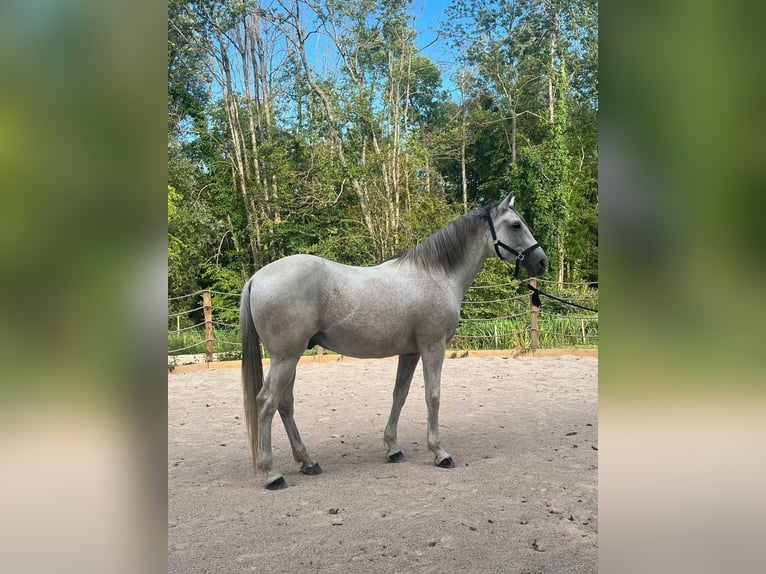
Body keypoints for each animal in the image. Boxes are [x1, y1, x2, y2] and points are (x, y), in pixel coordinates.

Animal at [240, 194, 544, 490]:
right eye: (516, 225)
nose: (542, 262)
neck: (436, 275)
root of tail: (256, 277)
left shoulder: (410, 353)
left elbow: (400, 394)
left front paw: (393, 448)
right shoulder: (433, 347)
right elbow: (432, 396)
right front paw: (439, 452)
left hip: (291, 357)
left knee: (285, 404)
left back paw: (307, 462)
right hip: (286, 357)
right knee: (267, 402)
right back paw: (272, 474)